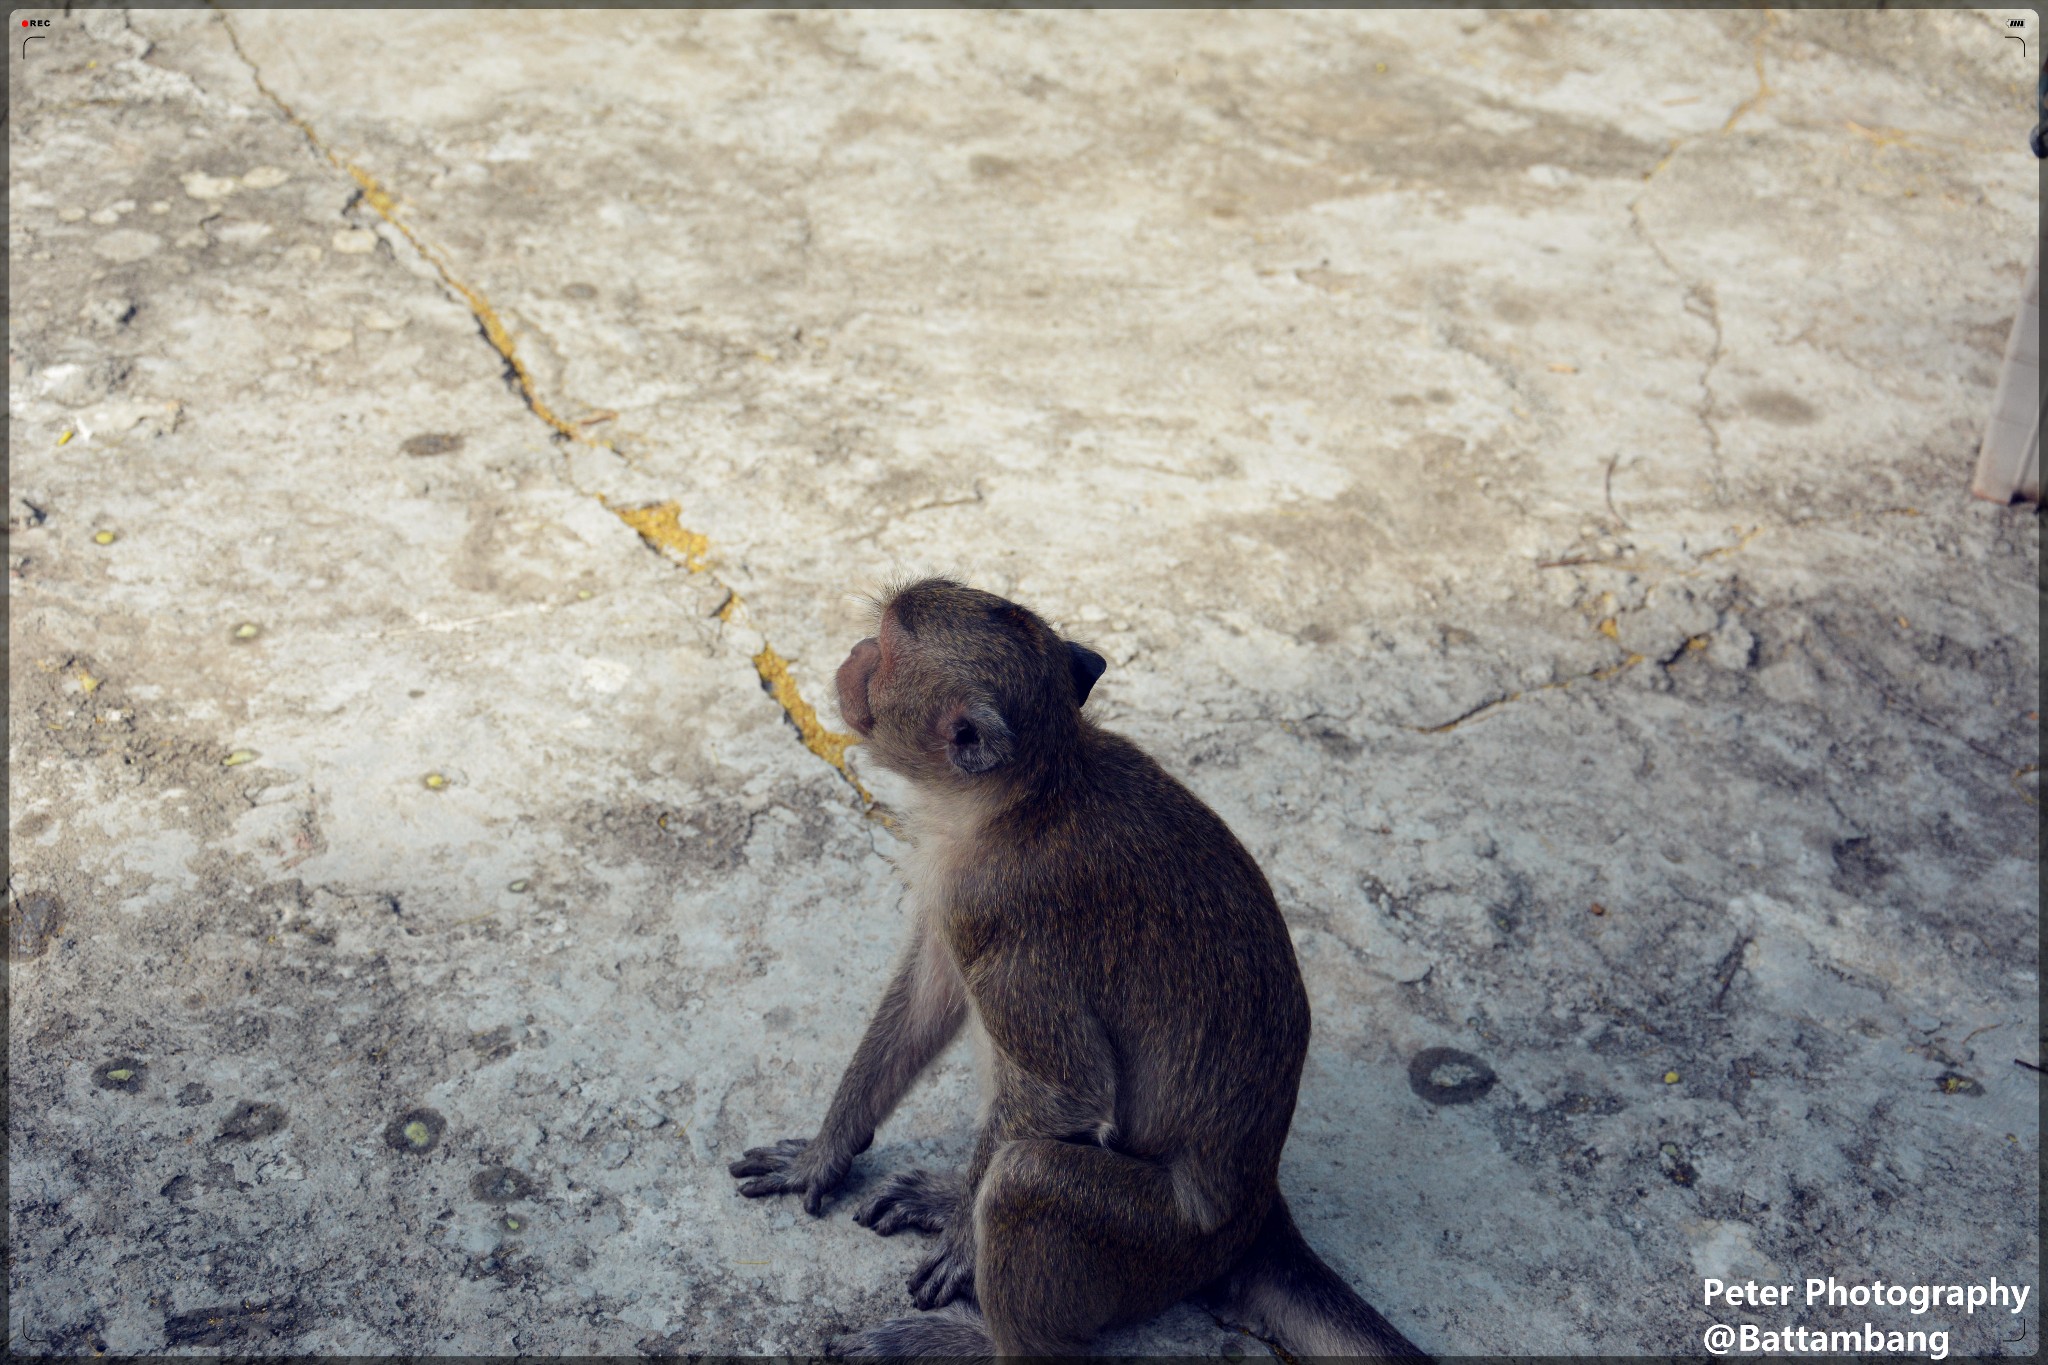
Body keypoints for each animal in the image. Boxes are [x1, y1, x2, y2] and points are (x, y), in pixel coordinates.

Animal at [733, 581, 1425, 1358]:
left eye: (881, 648)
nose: (852, 656)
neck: (1025, 793)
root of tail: (1254, 1209)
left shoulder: (998, 909)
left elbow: (1069, 1089)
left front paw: (961, 1244)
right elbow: (926, 1001)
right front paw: (824, 1153)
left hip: (1148, 1244)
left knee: (1026, 1175)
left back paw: (972, 1330)